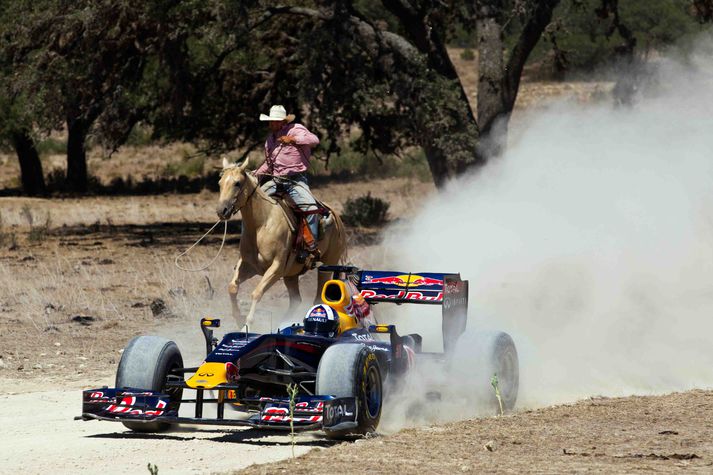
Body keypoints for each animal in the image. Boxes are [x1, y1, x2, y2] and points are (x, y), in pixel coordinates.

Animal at [216, 158, 346, 330]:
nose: (221, 210)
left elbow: (257, 293)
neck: (261, 225)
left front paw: (247, 325)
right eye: (220, 183)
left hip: (328, 264)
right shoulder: (249, 266)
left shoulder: (276, 268)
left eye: (237, 183)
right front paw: (238, 319)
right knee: (296, 300)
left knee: (318, 297)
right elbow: (232, 287)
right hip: (291, 274)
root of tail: (336, 217)